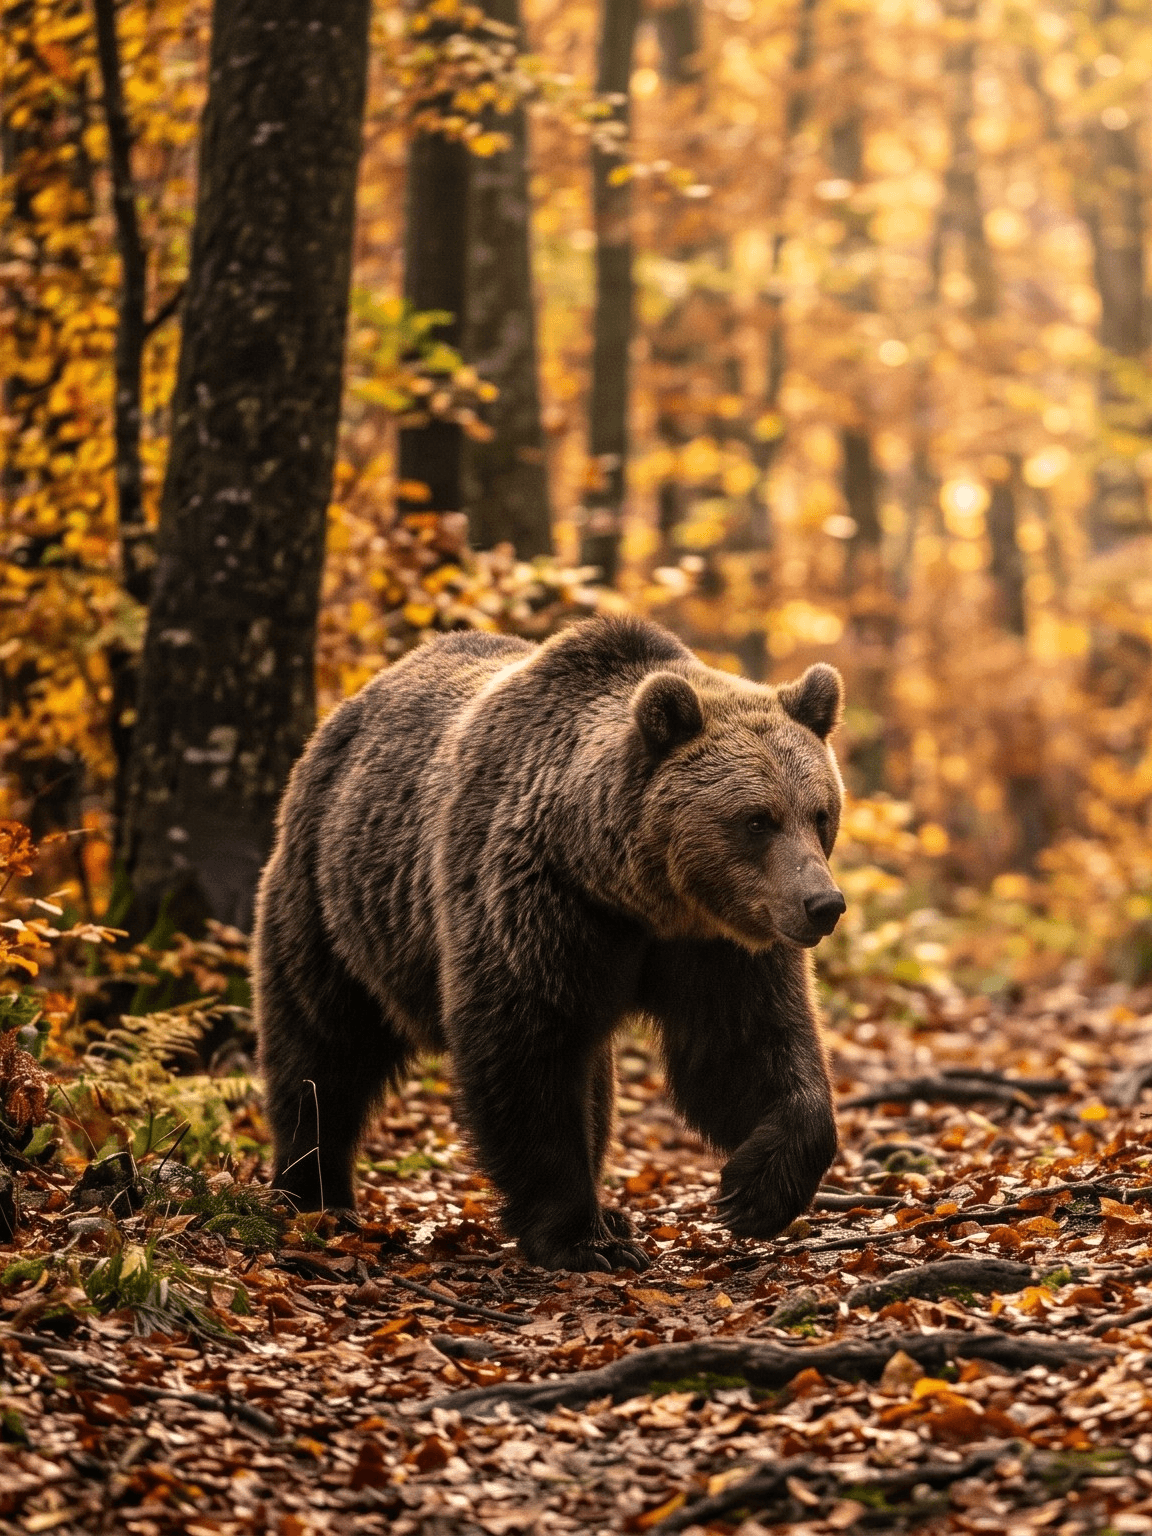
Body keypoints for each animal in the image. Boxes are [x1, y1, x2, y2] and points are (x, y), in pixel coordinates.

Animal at [253, 615, 846, 1272]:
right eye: (757, 819)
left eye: (820, 813)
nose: (823, 903)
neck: (635, 895)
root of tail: (345, 713)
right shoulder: (536, 905)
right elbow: (525, 1052)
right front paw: (580, 1238)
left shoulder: (717, 944)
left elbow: (746, 1045)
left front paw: (754, 1190)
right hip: (334, 902)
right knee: (322, 1046)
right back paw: (316, 1196)